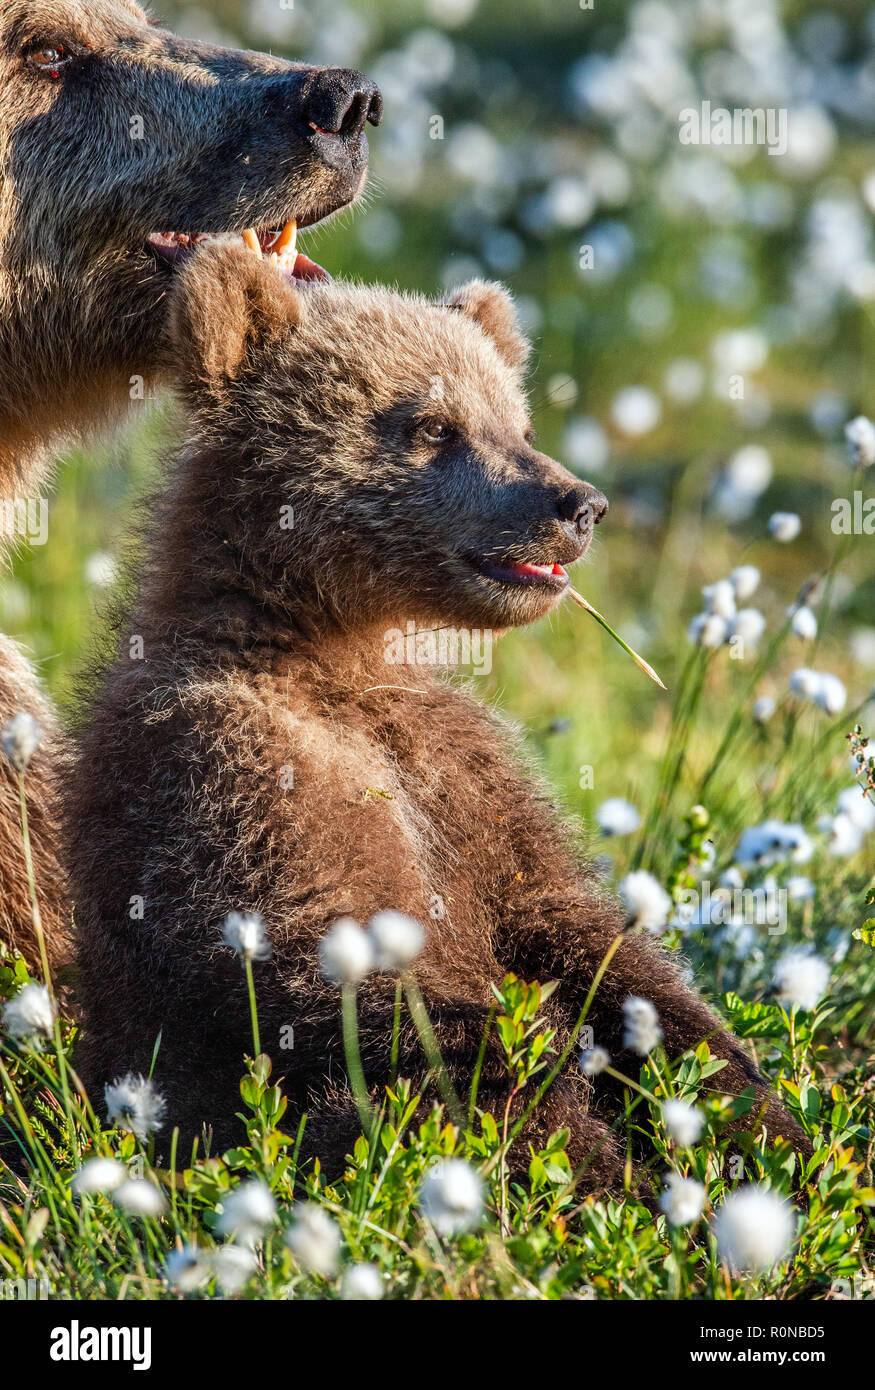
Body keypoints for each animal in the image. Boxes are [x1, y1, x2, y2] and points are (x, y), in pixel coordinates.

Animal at [65, 241, 808, 1189]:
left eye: (518, 423)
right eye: (431, 424)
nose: (578, 505)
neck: (332, 652)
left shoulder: (465, 774)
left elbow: (579, 934)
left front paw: (758, 1120)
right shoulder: (236, 777)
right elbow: (379, 993)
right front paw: (592, 1171)